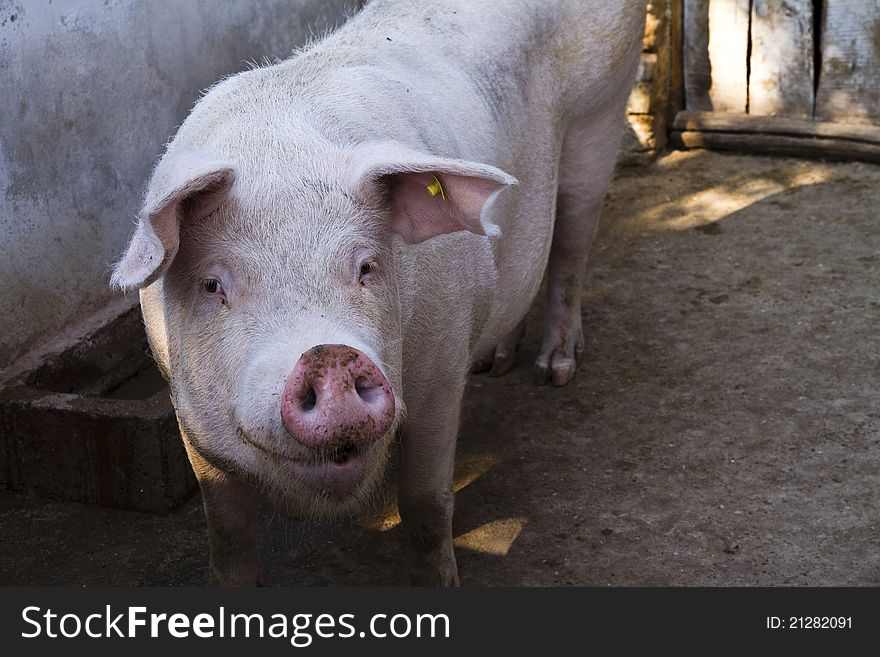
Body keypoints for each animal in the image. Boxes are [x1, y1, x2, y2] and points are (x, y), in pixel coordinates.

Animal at [113, 0, 644, 584]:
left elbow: (426, 503)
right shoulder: (187, 413)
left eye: (367, 267)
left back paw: (555, 371)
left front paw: (442, 581)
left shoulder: (440, 366)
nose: (328, 356)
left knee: (571, 248)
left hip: (601, 120)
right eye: (212, 284)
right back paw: (495, 364)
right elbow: (229, 538)